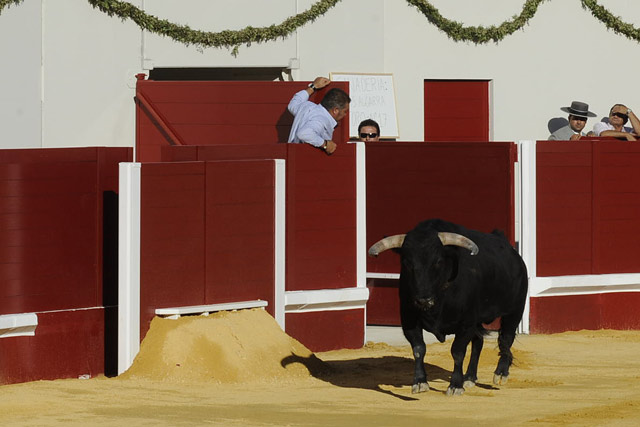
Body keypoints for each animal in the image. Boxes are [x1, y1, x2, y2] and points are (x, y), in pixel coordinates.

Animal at [368, 219, 528, 396]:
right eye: (407, 263)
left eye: (438, 261)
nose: (423, 299)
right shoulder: (409, 320)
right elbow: (419, 349)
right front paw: (420, 382)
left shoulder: (466, 323)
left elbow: (457, 352)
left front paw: (455, 385)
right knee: (478, 342)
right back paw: (470, 377)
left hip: (514, 311)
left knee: (506, 339)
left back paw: (500, 374)